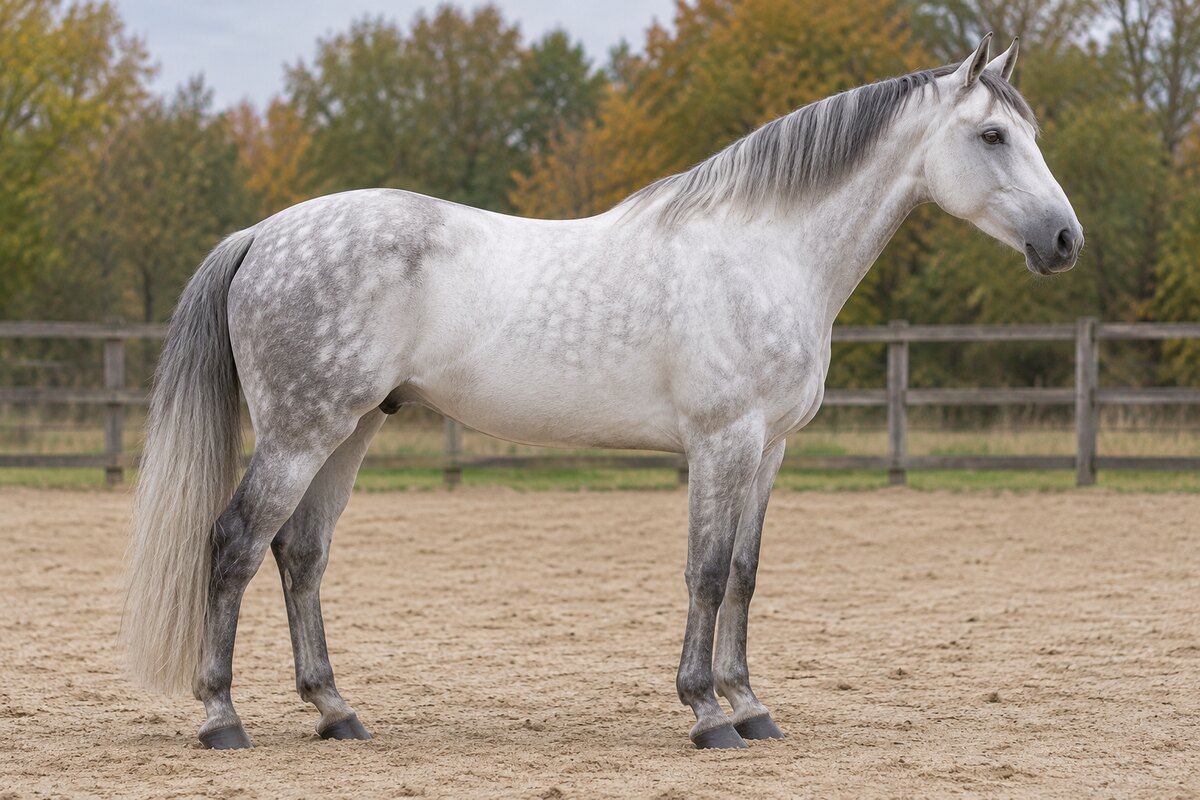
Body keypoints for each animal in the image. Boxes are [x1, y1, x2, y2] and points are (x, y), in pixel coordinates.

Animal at [122, 34, 1082, 750]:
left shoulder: (767, 448)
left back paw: (337, 711)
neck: (764, 252)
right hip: (301, 431)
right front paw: (706, 713)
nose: (1065, 241)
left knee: (301, 556)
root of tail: (263, 233)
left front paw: (751, 707)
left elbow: (744, 575)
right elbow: (704, 572)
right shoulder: (721, 442)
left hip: (349, 430)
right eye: (992, 137)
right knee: (235, 544)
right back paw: (222, 718)